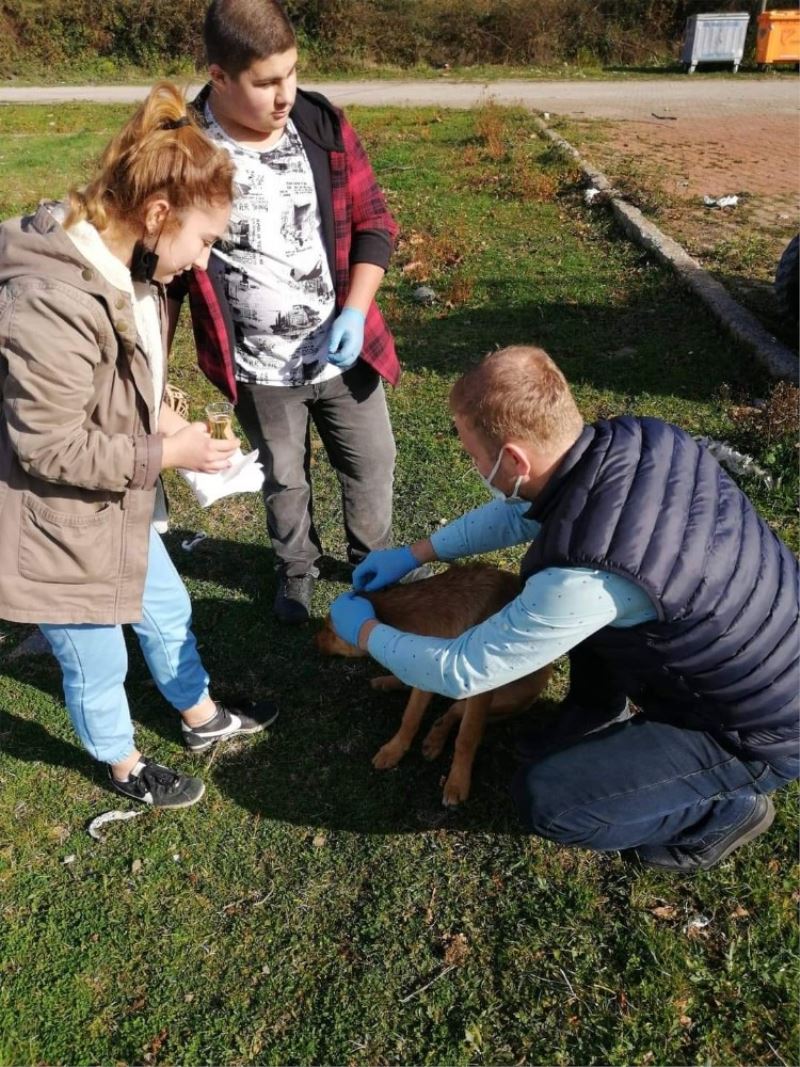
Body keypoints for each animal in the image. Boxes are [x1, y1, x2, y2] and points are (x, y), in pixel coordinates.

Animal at [317, 563, 550, 802]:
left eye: (330, 630)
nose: (315, 643)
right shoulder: (427, 666)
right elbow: (410, 717)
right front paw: (394, 749)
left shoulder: (479, 692)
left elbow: (466, 736)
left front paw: (457, 781)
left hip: (511, 697)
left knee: (457, 708)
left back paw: (436, 737)